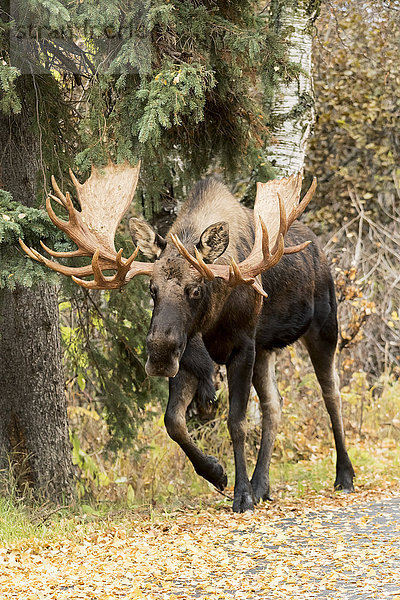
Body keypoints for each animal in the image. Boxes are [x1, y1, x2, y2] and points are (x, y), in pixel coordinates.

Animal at [20, 159, 354, 510]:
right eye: (152, 289)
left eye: (195, 289)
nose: (158, 353)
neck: (214, 319)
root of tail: (320, 250)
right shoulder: (191, 356)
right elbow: (173, 421)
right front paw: (216, 473)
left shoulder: (243, 346)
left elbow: (236, 421)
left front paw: (241, 495)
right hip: (266, 348)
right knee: (273, 406)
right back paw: (262, 485)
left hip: (325, 325)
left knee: (332, 395)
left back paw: (343, 475)